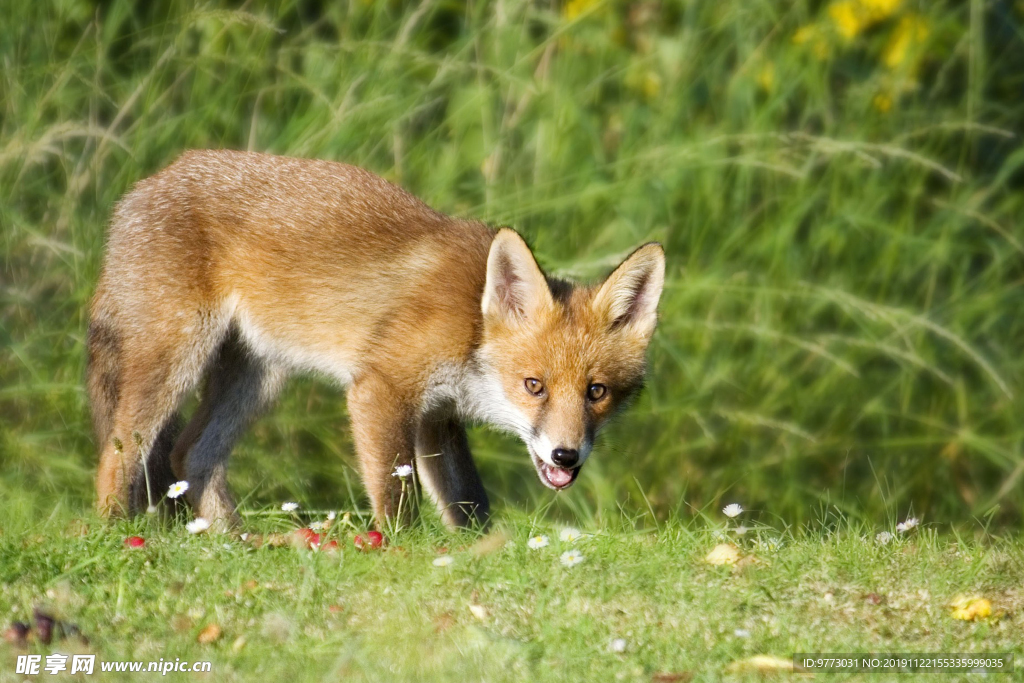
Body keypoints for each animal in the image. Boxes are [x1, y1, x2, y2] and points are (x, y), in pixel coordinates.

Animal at [86, 152, 663, 532]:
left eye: (596, 392)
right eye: (534, 385)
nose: (566, 455)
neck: (471, 325)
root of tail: (140, 189)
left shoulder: (436, 416)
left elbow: (469, 503)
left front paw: (476, 550)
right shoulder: (382, 389)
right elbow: (396, 498)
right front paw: (397, 551)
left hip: (258, 377)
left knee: (190, 454)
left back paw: (237, 541)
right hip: (177, 357)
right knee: (120, 450)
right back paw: (115, 533)